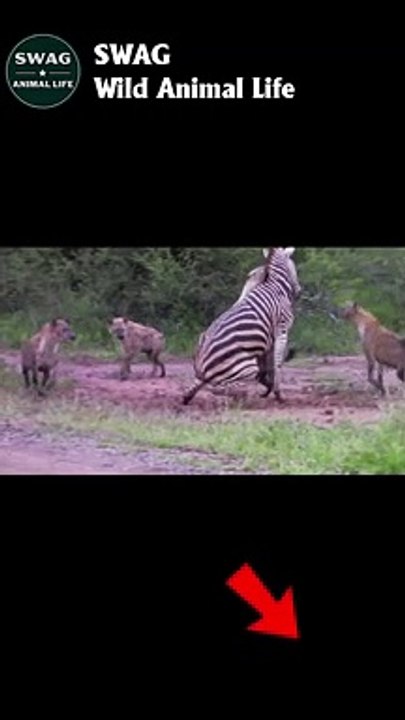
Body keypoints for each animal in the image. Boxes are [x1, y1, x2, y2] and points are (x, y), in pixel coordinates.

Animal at [183, 247, 301, 405]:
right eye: (293, 266)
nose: (299, 291)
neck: (275, 285)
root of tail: (201, 367)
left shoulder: (267, 338)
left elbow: (268, 363)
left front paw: (269, 387)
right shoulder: (282, 329)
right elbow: (277, 362)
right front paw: (278, 394)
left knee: (193, 390)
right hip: (245, 368)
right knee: (220, 388)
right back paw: (243, 396)